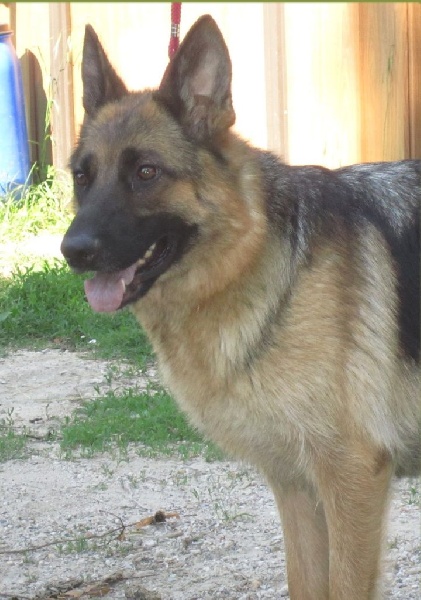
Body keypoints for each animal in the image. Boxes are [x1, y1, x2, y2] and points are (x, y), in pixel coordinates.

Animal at [61, 16, 420, 600]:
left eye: (146, 172)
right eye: (82, 176)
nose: (73, 251)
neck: (252, 261)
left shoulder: (352, 476)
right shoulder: (296, 486)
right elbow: (305, 582)